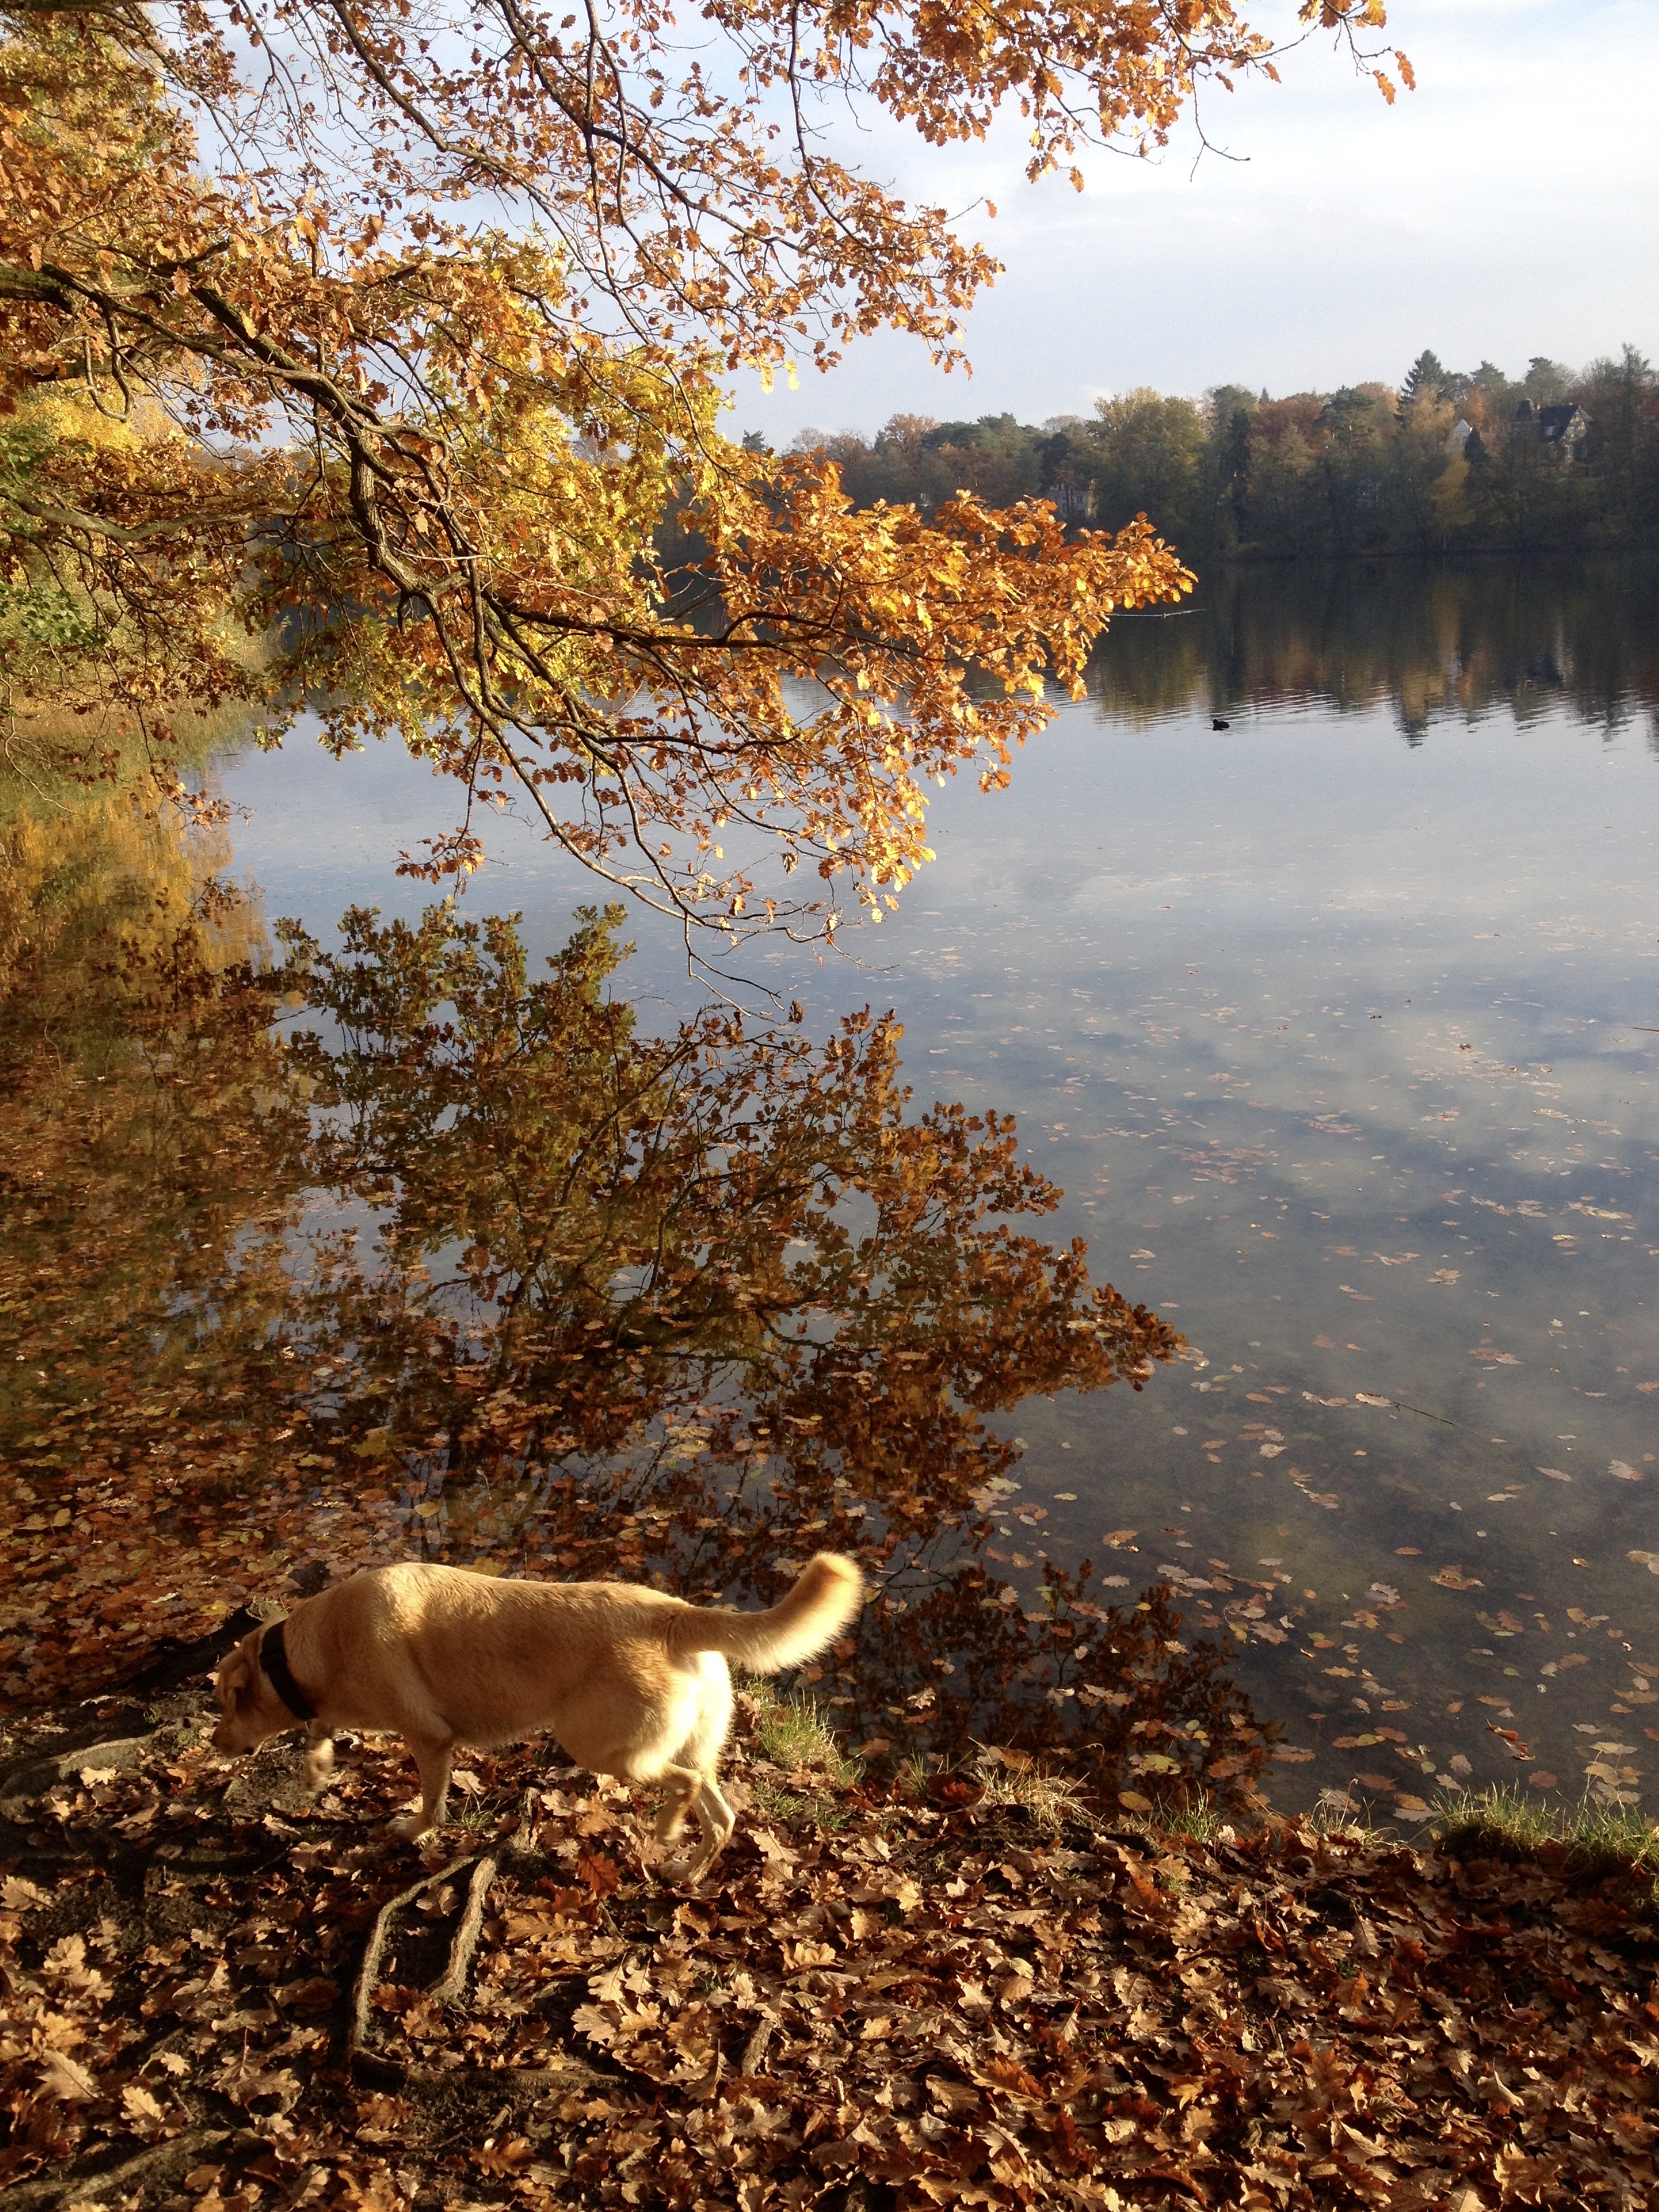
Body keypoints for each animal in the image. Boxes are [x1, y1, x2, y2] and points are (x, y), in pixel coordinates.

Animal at [212, 1548, 862, 1875]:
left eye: (223, 1702)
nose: (214, 1744)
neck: (312, 1650)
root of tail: (673, 1614)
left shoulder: (429, 1739)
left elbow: (431, 1804)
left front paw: (413, 1830)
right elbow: (318, 1729)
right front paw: (317, 1765)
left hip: (601, 1747)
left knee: (682, 1784)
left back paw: (667, 1828)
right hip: (687, 1745)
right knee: (719, 1812)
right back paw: (685, 1872)